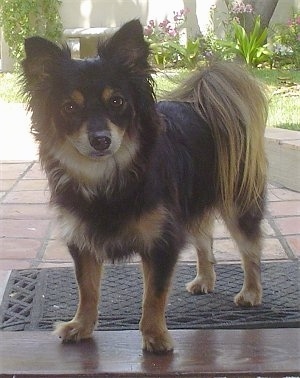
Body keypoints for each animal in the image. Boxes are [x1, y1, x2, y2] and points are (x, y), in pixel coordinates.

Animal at [22, 19, 268, 352]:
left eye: (117, 102)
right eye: (69, 108)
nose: (101, 140)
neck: (107, 177)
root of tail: (201, 104)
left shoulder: (162, 241)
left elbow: (154, 294)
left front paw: (155, 336)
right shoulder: (82, 241)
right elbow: (87, 289)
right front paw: (81, 326)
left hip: (238, 206)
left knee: (250, 250)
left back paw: (251, 292)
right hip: (189, 208)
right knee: (204, 239)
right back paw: (205, 279)